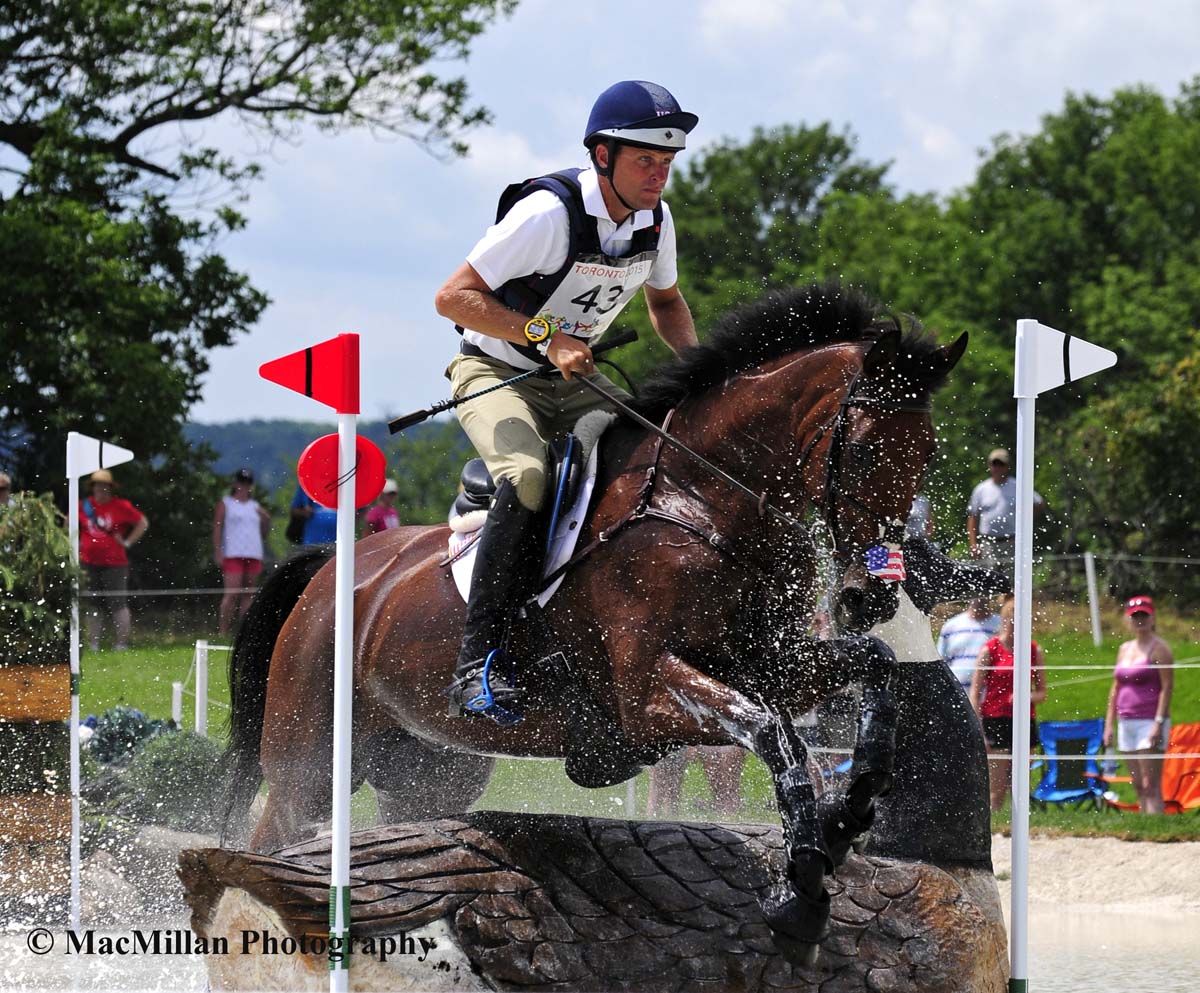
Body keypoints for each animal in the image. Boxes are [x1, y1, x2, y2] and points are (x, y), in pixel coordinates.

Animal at [218, 283, 964, 964]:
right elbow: (773, 734)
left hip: (430, 772)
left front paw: (848, 811)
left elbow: (875, 668)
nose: (868, 596)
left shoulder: (770, 663)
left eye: (928, 454)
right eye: (862, 451)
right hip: (310, 764)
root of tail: (331, 569)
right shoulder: (649, 694)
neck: (702, 499)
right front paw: (801, 895)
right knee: (270, 843)